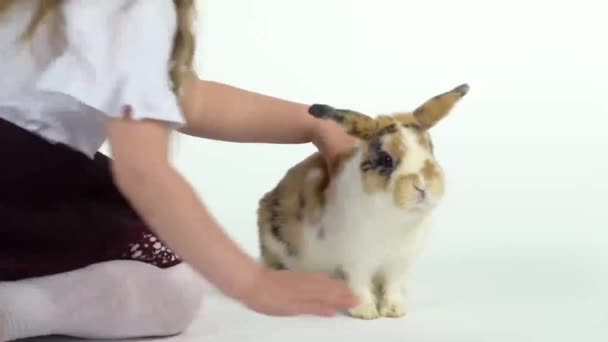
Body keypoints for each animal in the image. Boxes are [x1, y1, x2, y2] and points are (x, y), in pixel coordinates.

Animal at [256, 84, 470, 320]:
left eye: (431, 149)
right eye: (386, 159)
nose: (423, 186)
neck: (395, 218)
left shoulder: (399, 263)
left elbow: (393, 286)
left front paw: (394, 310)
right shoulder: (356, 260)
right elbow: (359, 286)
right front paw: (366, 312)